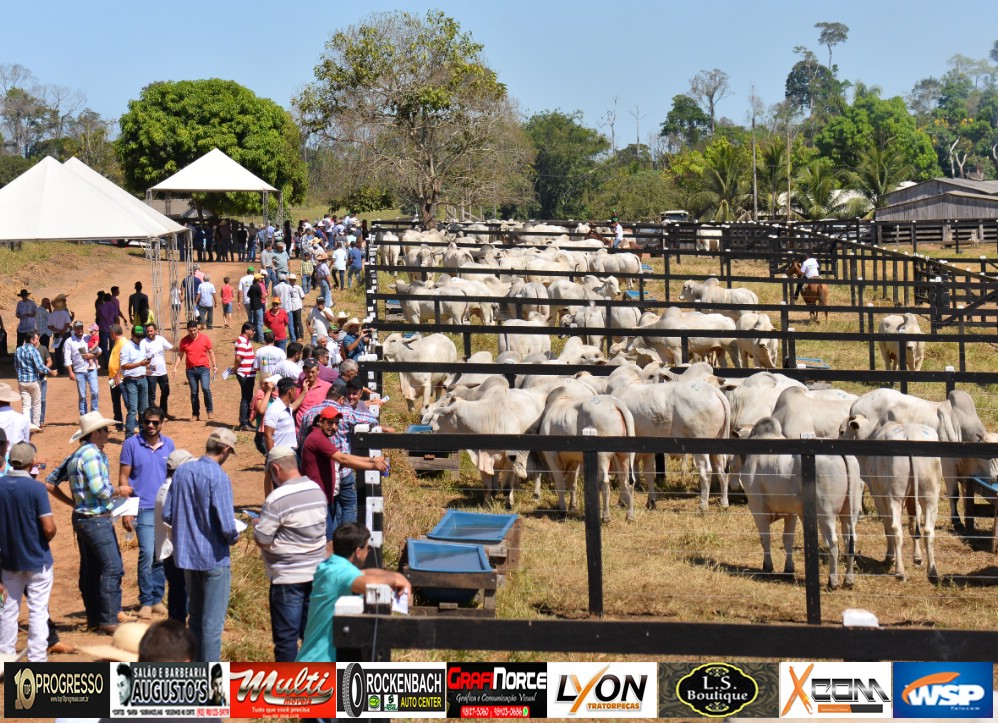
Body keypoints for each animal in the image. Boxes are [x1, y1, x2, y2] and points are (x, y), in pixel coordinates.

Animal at [744, 418, 868, 588]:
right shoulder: (791, 512)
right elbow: (788, 539)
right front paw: (788, 569)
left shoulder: (757, 507)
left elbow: (765, 538)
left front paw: (767, 566)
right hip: (851, 510)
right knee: (850, 540)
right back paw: (848, 580)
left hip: (826, 513)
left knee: (833, 542)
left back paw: (833, 581)